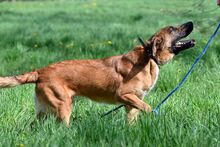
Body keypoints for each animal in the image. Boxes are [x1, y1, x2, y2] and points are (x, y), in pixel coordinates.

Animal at [0, 21, 195, 125]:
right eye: (172, 29)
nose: (191, 23)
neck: (149, 57)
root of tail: (40, 72)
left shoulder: (131, 104)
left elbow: (132, 120)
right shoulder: (125, 95)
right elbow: (148, 108)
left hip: (45, 110)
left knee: (34, 125)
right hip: (63, 107)